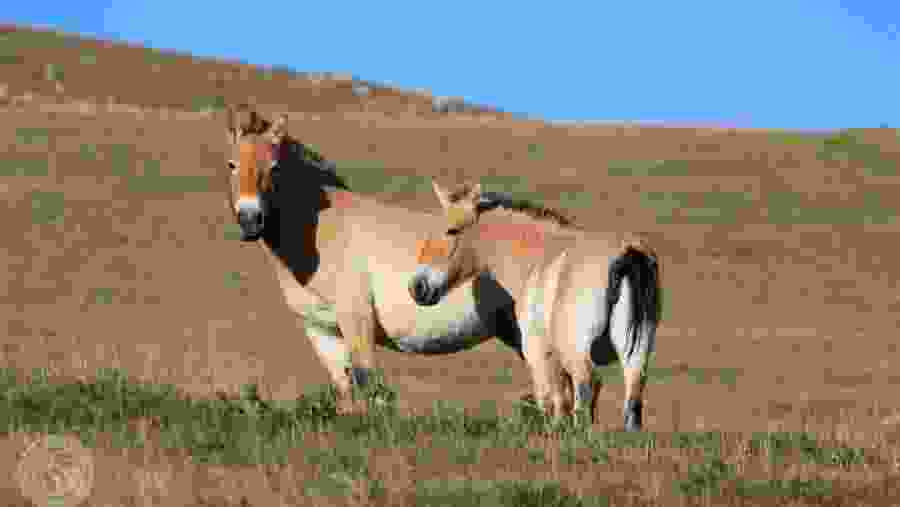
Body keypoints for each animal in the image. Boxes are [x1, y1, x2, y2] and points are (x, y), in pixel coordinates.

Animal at [223, 104, 530, 413]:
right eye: (231, 164)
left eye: (274, 167)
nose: (250, 219)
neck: (325, 233)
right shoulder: (321, 331)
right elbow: (346, 391)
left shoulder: (357, 319)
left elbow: (366, 381)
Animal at [409, 180, 662, 431]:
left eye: (452, 230)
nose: (417, 287)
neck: (539, 259)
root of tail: (628, 254)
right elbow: (562, 398)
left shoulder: (538, 352)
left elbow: (552, 399)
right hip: (637, 352)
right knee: (632, 395)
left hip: (576, 352)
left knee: (588, 385)